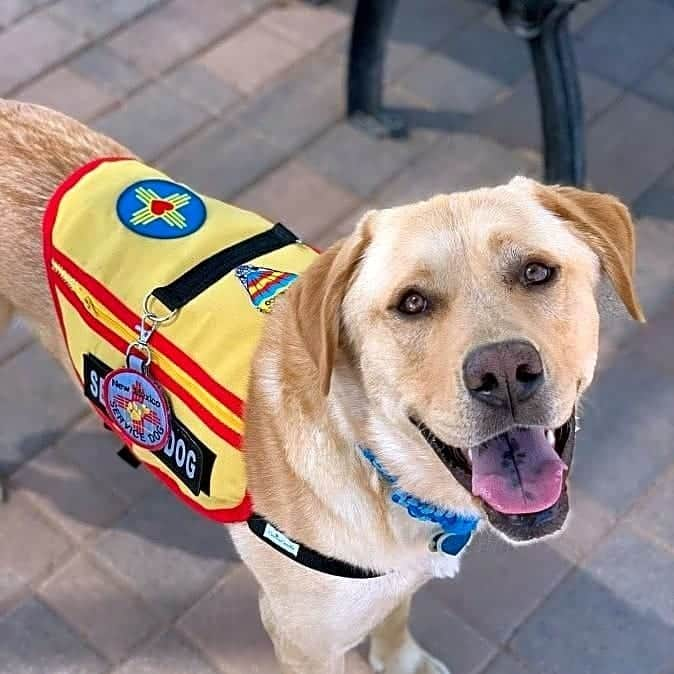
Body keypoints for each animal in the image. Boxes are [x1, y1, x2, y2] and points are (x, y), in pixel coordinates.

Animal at [0, 101, 640, 672]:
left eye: (536, 271)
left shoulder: (398, 576)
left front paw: (399, 661)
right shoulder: (303, 638)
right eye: (411, 303)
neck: (383, 473)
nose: (504, 371)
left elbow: (396, 615)